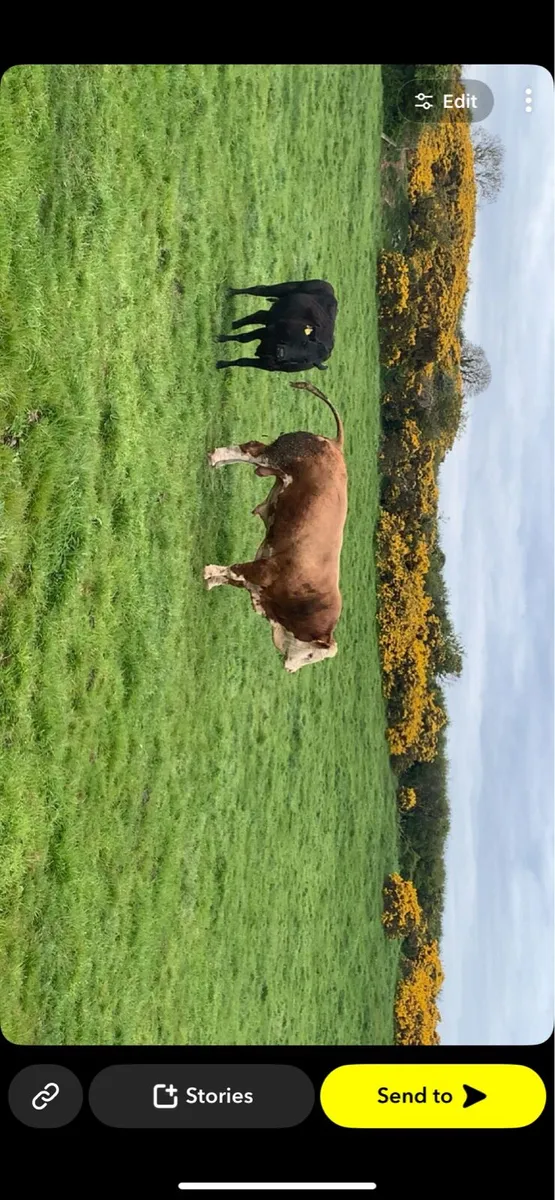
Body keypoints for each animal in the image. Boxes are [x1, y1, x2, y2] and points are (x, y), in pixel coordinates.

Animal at [203, 381, 347, 673]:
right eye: (312, 655)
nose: (290, 669)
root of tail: (334, 444)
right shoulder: (263, 569)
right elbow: (233, 569)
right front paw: (207, 572)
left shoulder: (258, 584)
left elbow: (230, 578)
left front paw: (212, 580)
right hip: (274, 457)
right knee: (250, 451)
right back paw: (215, 457)